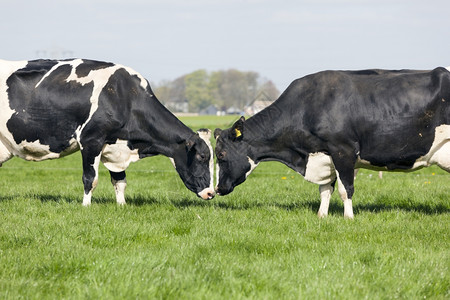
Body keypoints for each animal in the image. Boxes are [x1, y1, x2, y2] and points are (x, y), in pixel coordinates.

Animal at [0, 58, 215, 204]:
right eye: (202, 157)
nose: (211, 192)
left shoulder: (115, 147)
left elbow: (120, 181)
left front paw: (122, 205)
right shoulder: (91, 140)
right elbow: (90, 179)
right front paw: (86, 206)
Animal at [214, 67, 450, 218]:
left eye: (221, 155)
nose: (217, 189)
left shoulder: (343, 151)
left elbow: (346, 189)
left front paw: (349, 218)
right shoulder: (324, 154)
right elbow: (325, 189)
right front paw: (322, 216)